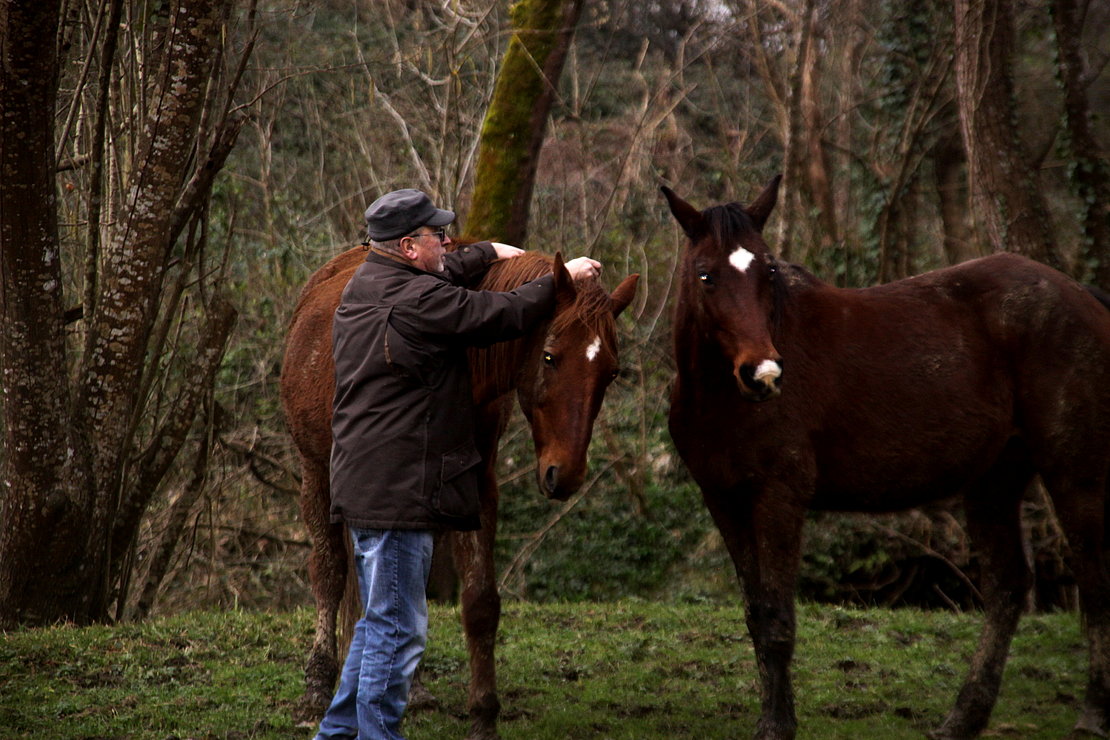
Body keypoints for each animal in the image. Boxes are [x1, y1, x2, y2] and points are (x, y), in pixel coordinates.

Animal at [281, 241, 639, 736]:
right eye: (549, 357)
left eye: (611, 372)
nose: (564, 475)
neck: (465, 362)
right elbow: (343, 576)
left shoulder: (476, 485)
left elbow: (479, 602)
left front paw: (484, 715)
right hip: (318, 473)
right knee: (331, 571)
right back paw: (319, 685)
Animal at [661, 179, 1105, 740]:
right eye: (706, 275)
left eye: (768, 271)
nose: (763, 374)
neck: (721, 399)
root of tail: (1082, 295)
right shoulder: (725, 501)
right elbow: (758, 615)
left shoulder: (779, 497)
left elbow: (779, 619)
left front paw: (779, 725)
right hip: (994, 480)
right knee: (1007, 587)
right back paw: (962, 718)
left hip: (1073, 471)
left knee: (1092, 577)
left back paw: (1092, 714)